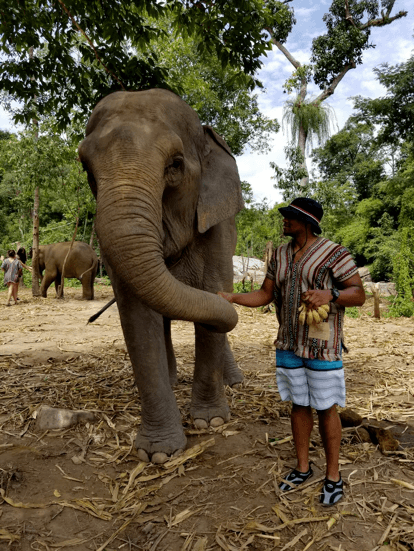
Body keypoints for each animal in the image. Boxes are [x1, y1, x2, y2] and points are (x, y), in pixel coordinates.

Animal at [79, 88, 244, 464]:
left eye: (175, 166)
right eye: (86, 168)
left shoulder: (217, 226)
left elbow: (214, 289)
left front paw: (210, 421)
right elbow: (138, 317)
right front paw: (156, 454)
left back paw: (234, 383)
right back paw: (171, 381)